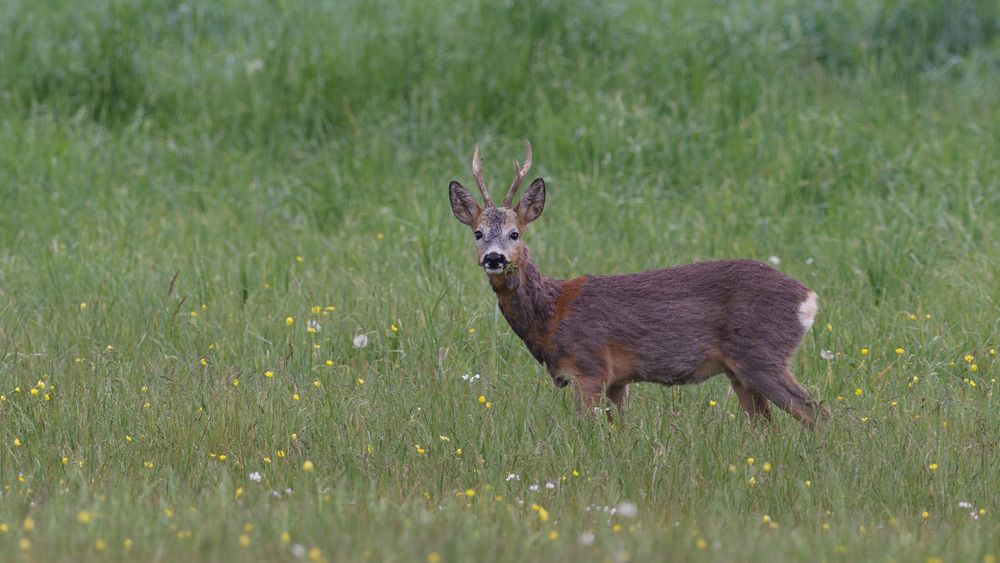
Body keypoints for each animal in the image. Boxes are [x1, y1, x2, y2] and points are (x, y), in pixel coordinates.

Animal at [450, 142, 824, 428]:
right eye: (478, 233)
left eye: (515, 234)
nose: (494, 258)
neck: (551, 315)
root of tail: (809, 298)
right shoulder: (618, 379)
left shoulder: (589, 366)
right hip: (740, 370)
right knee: (767, 426)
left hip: (762, 355)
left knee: (816, 413)